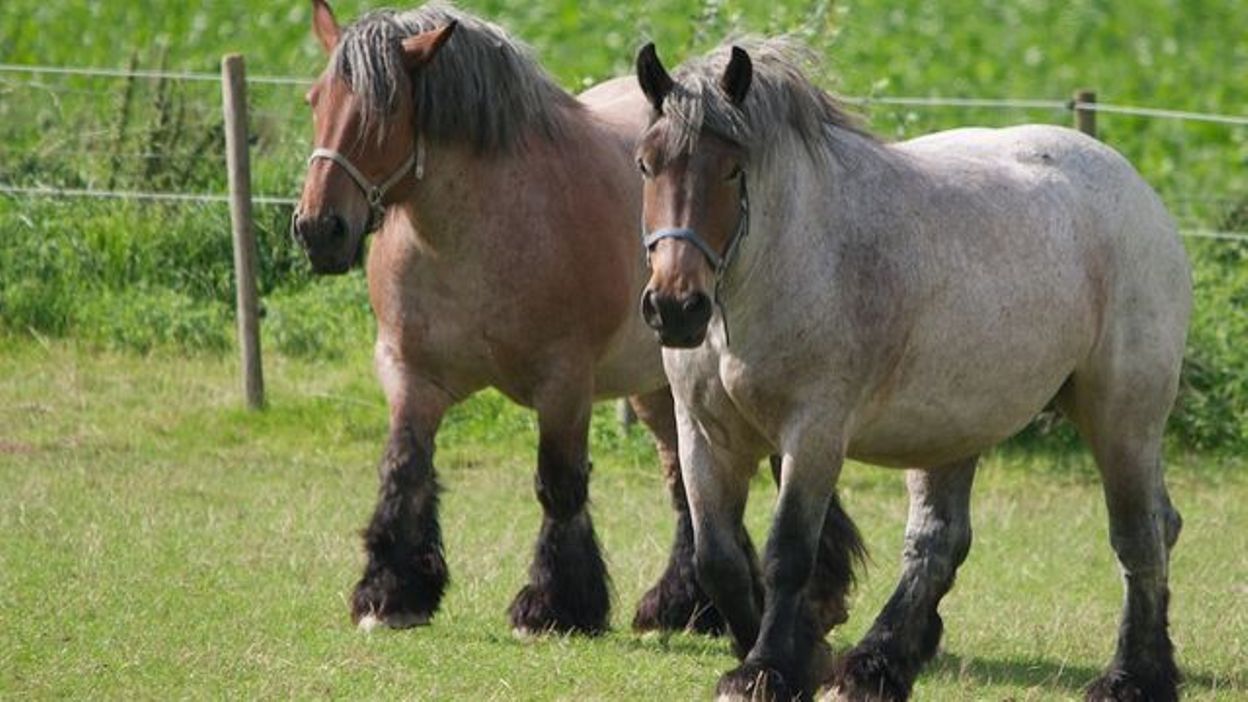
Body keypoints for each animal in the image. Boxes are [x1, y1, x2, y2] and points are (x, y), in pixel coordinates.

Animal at [287, 0, 733, 634]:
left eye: (388, 109)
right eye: (315, 100)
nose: (319, 230)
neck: (474, 238)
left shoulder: (564, 384)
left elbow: (559, 484)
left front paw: (553, 605)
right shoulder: (409, 373)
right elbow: (404, 468)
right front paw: (392, 593)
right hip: (655, 389)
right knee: (683, 481)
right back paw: (682, 605)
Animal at [633, 39, 1188, 699]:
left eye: (732, 169)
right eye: (646, 165)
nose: (675, 307)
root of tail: (1141, 194)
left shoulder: (814, 433)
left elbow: (787, 553)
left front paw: (767, 667)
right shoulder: (703, 433)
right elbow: (717, 558)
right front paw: (779, 654)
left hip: (1122, 419)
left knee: (1141, 536)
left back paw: (1132, 676)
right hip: (954, 428)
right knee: (938, 542)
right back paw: (874, 665)